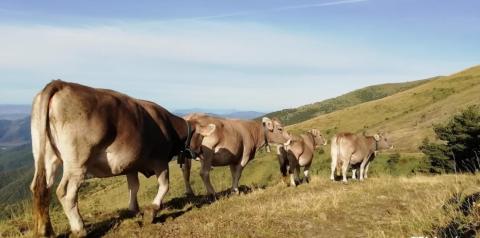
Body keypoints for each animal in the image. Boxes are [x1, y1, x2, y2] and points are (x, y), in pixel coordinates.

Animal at [30, 81, 193, 237]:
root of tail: (60, 83)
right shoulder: (160, 160)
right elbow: (164, 185)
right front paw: (152, 211)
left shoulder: (131, 164)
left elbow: (134, 186)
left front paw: (134, 210)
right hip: (77, 161)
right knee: (65, 192)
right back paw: (80, 229)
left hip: (46, 154)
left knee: (41, 187)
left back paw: (45, 231)